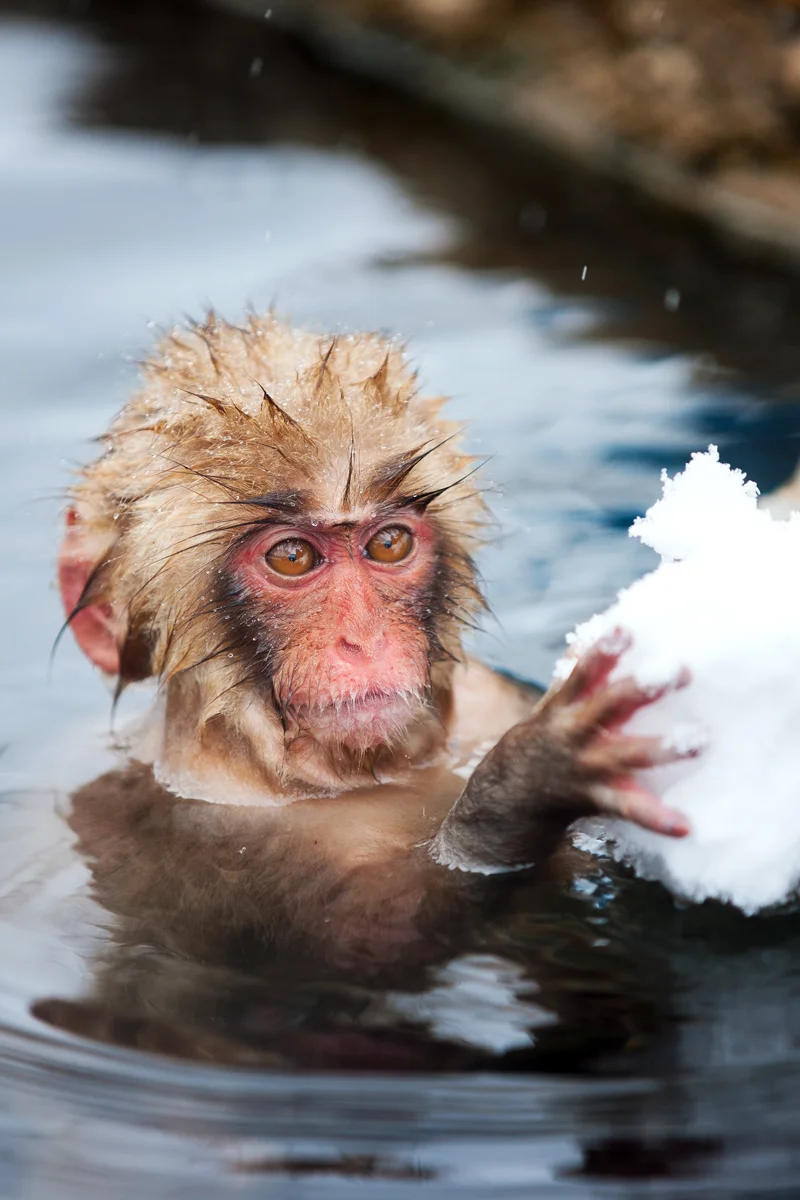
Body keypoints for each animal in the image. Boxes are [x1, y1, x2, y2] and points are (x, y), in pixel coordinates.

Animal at [50, 313, 699, 1063]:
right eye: (292, 556)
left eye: (388, 544)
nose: (364, 639)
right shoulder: (214, 823)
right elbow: (374, 942)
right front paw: (529, 783)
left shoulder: (479, 700)